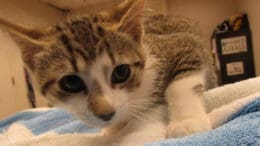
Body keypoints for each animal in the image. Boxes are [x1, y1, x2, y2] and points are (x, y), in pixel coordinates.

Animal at [0, 0, 215, 143]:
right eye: (71, 83)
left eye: (121, 72)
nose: (106, 114)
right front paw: (113, 129)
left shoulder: (180, 43)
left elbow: (180, 84)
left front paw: (188, 122)